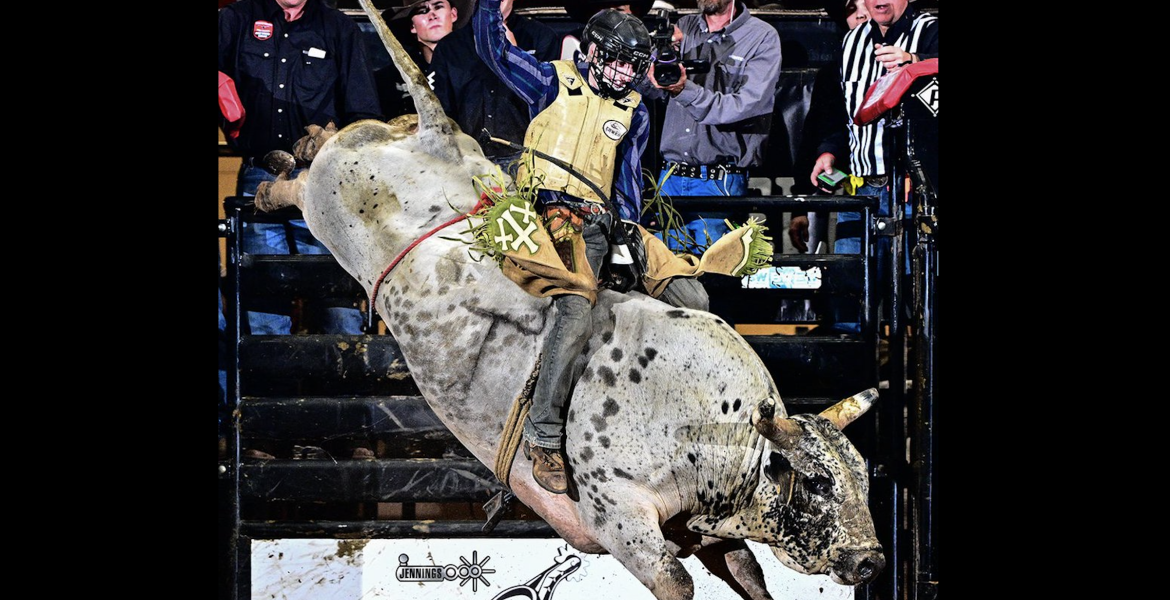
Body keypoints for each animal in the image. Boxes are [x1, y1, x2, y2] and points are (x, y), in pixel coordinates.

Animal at [251, 1, 884, 598]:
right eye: (816, 481)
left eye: (862, 474)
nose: (870, 559)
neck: (716, 427)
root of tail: (438, 135)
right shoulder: (621, 520)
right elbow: (676, 582)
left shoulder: (705, 528)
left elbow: (750, 573)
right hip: (327, 197)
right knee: (303, 181)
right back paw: (273, 179)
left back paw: (296, 147)